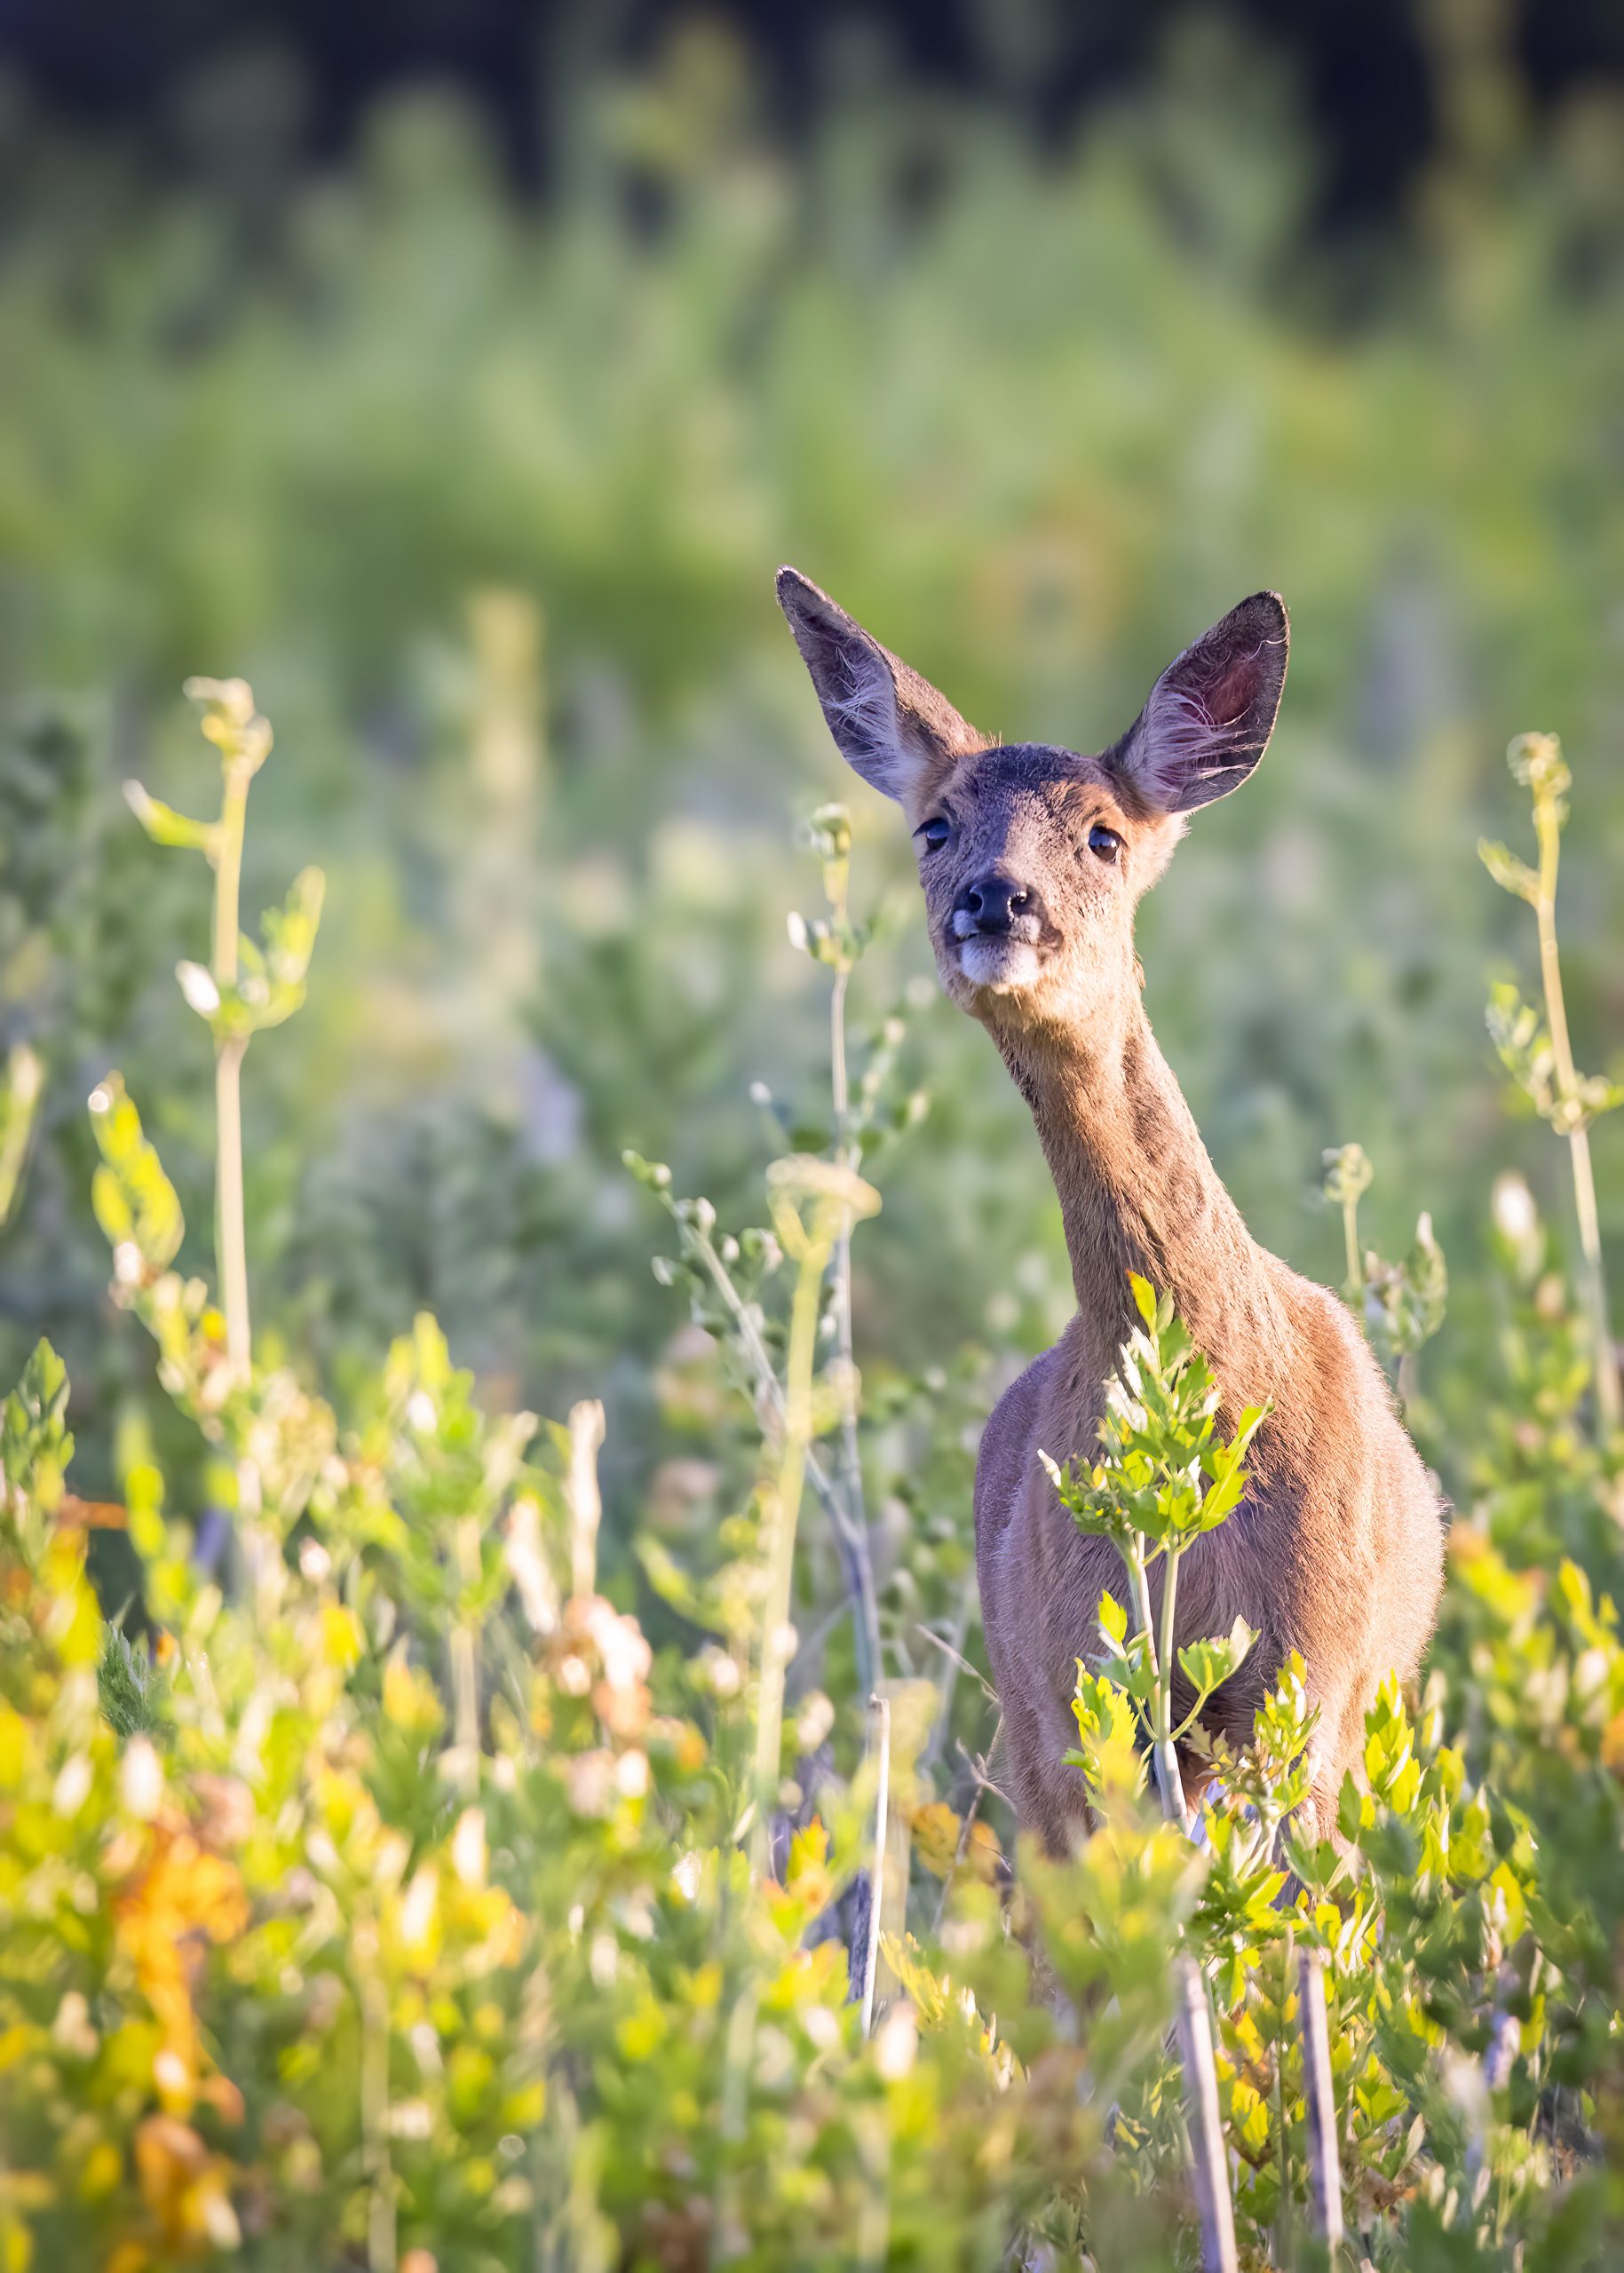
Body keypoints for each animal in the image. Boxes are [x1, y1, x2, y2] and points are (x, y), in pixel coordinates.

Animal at [776, 565, 1445, 1855]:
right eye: (933, 826)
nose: (996, 899)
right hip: (1030, 1709)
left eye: (1103, 832)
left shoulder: (1311, 1675)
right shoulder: (1076, 1677)